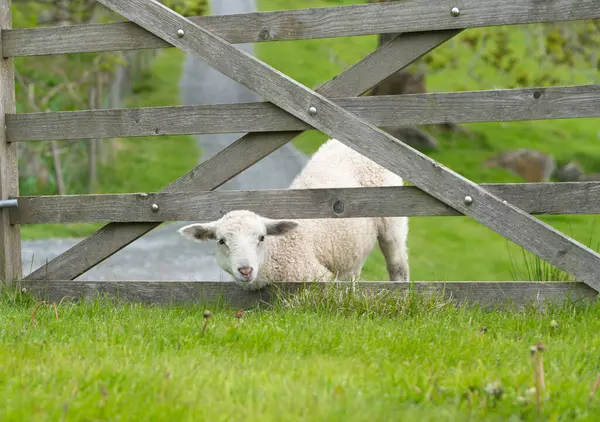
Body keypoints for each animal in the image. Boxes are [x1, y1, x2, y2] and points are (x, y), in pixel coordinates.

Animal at [178, 138, 410, 290]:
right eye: (221, 241)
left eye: (261, 238)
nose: (246, 270)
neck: (277, 252)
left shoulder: (318, 278)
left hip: (392, 219)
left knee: (398, 263)